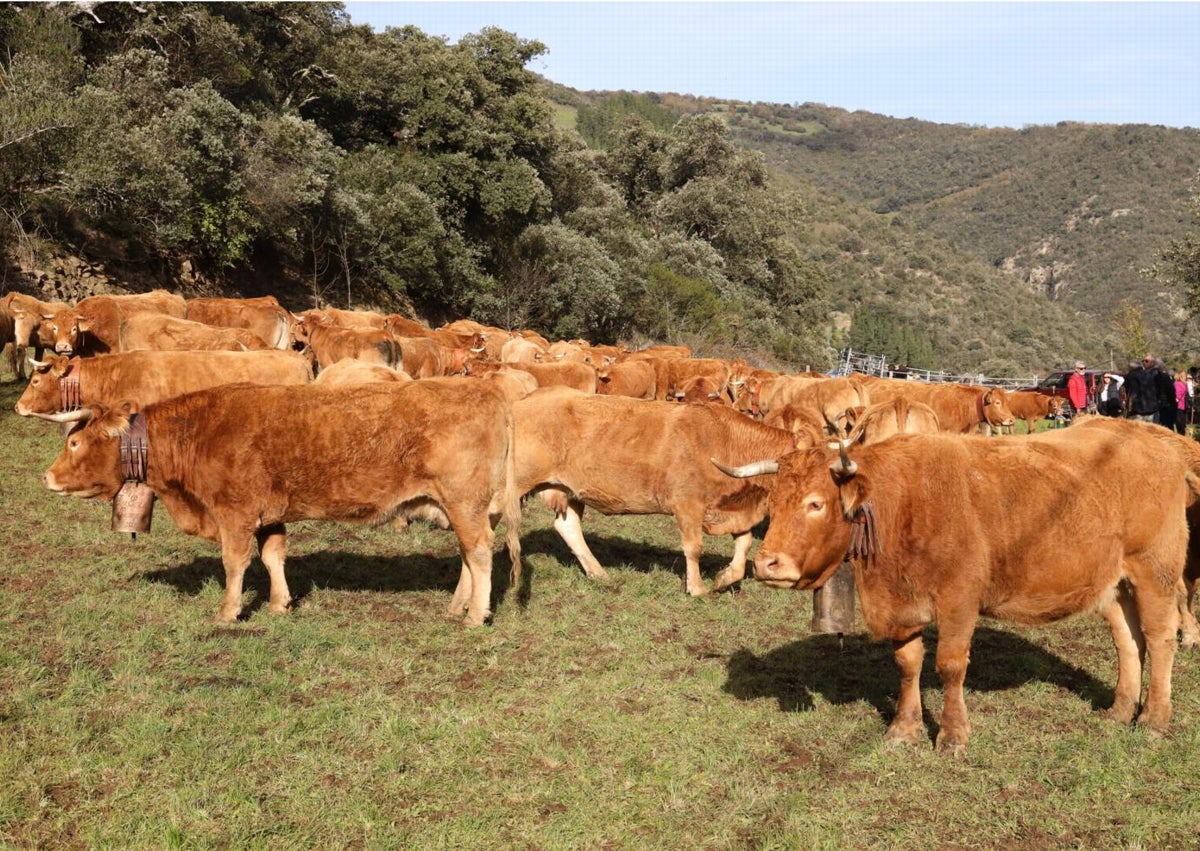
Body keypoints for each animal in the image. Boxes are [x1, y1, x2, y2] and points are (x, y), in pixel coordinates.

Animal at [43, 381, 520, 628]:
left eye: (75, 442)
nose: (46, 476)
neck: (198, 432)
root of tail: (487, 393)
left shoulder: (235, 514)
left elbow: (234, 563)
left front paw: (228, 612)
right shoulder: (269, 515)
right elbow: (274, 556)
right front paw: (279, 604)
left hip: (464, 503)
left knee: (479, 552)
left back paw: (475, 615)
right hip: (463, 507)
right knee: (469, 554)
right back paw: (458, 605)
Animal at [513, 388, 796, 595]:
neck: (726, 440)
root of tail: (528, 398)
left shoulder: (735, 509)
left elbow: (744, 545)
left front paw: (724, 579)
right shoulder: (687, 505)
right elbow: (694, 547)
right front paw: (697, 588)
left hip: (569, 490)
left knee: (568, 527)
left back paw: (598, 572)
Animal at [724, 417, 1200, 748]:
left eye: (815, 503)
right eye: (773, 501)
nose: (766, 564)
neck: (903, 502)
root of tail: (1152, 437)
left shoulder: (958, 599)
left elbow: (949, 665)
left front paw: (952, 736)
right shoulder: (903, 605)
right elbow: (908, 663)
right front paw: (904, 728)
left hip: (1155, 571)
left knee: (1160, 639)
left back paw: (1153, 720)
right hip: (1114, 584)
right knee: (1128, 641)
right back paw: (1120, 711)